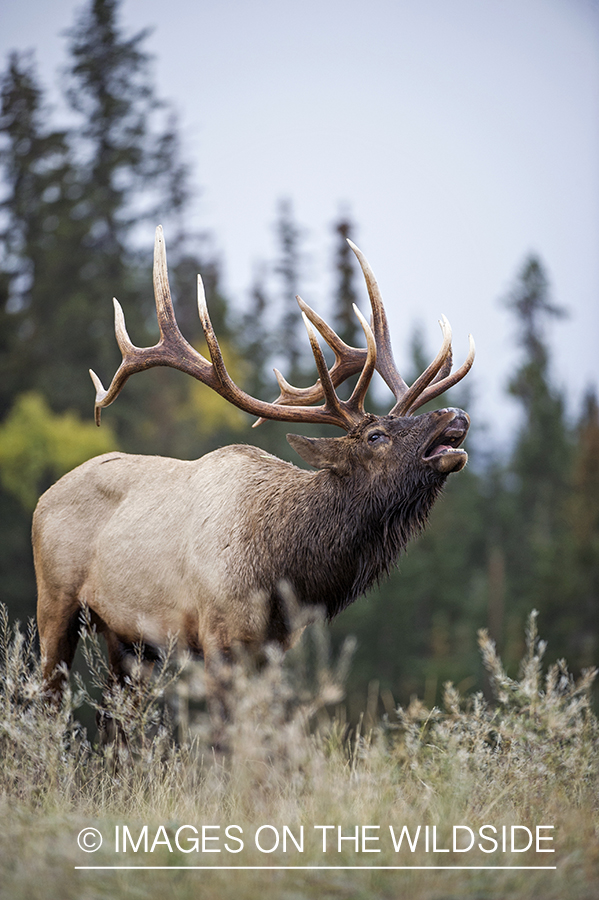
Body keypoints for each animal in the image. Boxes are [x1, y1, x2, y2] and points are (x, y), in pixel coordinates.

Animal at [33, 226, 474, 717]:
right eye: (375, 435)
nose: (454, 414)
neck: (286, 570)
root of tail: (42, 499)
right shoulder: (218, 635)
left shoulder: (273, 648)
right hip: (55, 602)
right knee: (45, 697)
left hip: (124, 637)